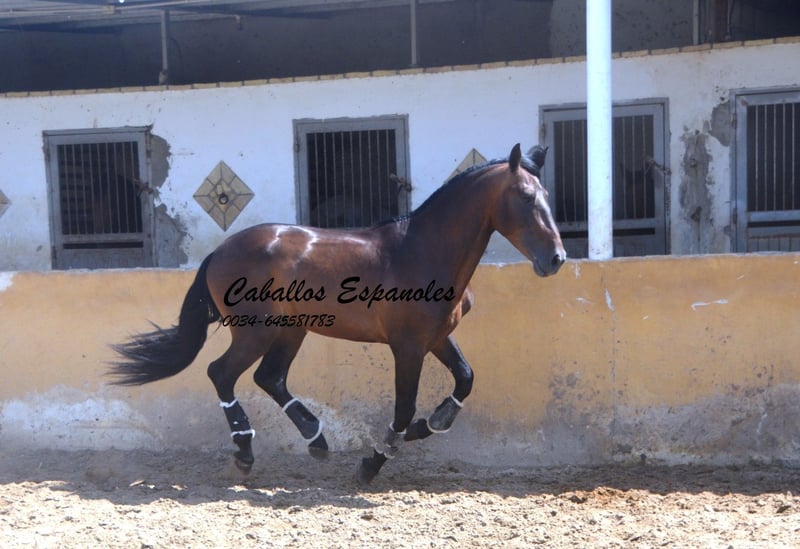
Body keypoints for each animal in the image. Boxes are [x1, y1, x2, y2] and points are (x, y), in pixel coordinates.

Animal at [109, 143, 566, 484]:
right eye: (526, 197)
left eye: (548, 196)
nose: (556, 259)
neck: (423, 251)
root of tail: (220, 252)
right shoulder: (408, 346)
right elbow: (404, 408)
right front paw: (373, 462)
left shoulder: (436, 338)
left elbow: (466, 379)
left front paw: (430, 424)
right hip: (256, 331)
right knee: (222, 373)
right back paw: (245, 453)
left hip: (291, 329)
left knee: (270, 377)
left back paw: (316, 440)